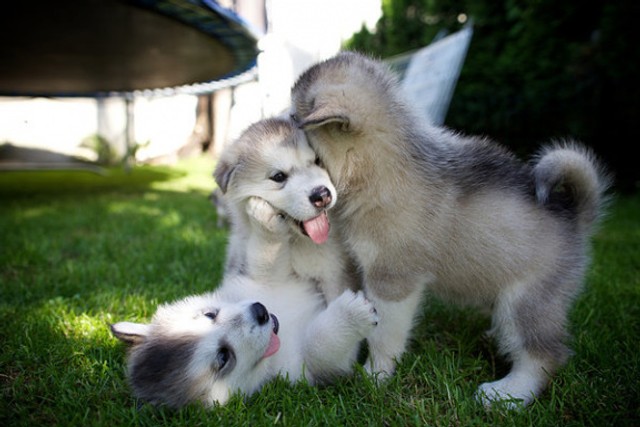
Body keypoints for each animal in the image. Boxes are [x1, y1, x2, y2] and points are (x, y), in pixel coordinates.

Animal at [111, 276, 380, 410]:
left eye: (210, 314)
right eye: (223, 357)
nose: (260, 311)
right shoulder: (307, 372)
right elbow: (320, 347)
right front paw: (353, 313)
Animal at [290, 51, 608, 408]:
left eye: (293, 116)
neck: (378, 168)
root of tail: (574, 214)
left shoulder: (393, 280)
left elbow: (385, 333)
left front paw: (375, 376)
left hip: (525, 301)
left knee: (544, 354)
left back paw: (506, 394)